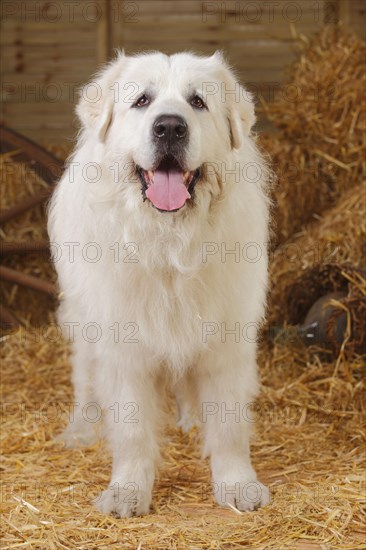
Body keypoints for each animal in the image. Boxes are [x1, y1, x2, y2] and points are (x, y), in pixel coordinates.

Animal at [47, 50, 272, 516]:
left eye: (198, 102)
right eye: (142, 101)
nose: (169, 126)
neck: (169, 245)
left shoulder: (225, 338)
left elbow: (229, 424)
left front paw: (238, 485)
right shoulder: (122, 345)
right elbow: (132, 428)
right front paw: (128, 491)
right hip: (82, 321)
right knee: (85, 378)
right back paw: (81, 430)